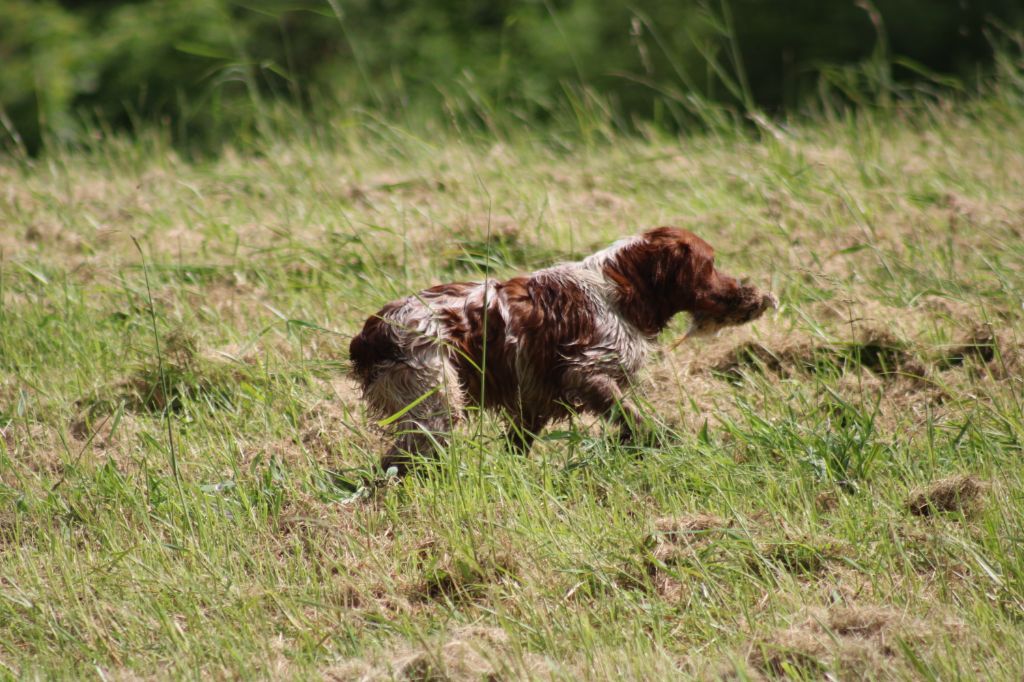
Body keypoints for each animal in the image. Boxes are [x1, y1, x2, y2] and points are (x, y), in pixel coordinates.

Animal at [352, 225, 774, 471]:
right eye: (711, 264)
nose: (743, 288)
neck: (620, 290)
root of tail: (372, 332)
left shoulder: (533, 400)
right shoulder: (586, 371)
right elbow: (635, 417)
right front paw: (663, 443)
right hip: (434, 402)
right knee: (397, 460)